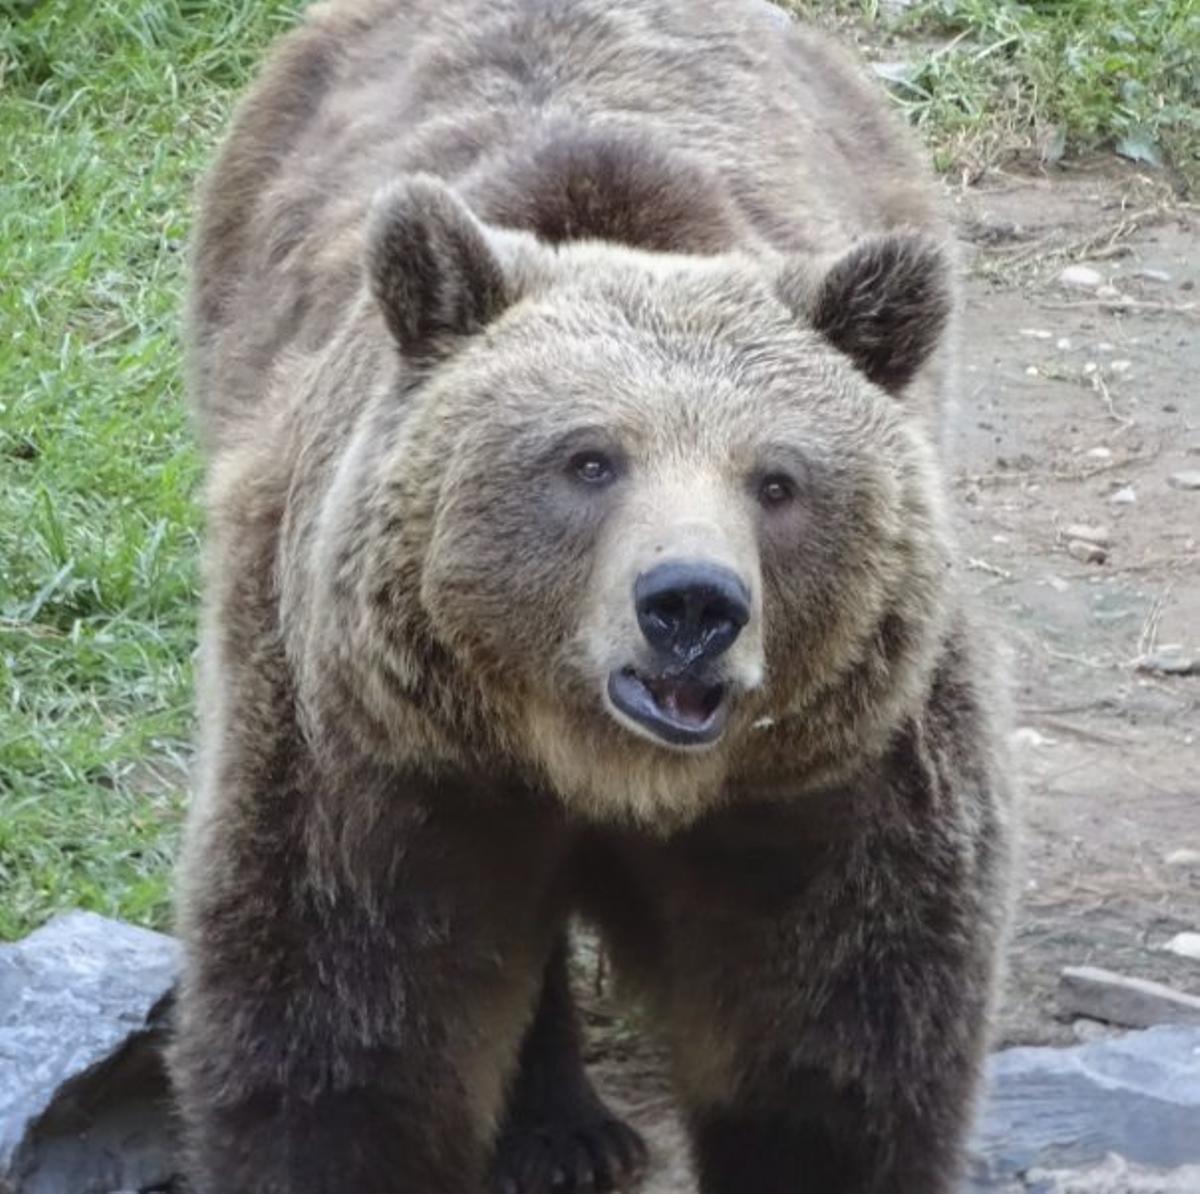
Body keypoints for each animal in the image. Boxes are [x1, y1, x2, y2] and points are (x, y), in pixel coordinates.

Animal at [170, 0, 1015, 1192]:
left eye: (777, 480)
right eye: (588, 460)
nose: (692, 606)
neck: (597, 768)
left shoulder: (834, 777)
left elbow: (833, 1040)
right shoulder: (378, 751)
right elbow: (341, 1024)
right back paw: (563, 1131)